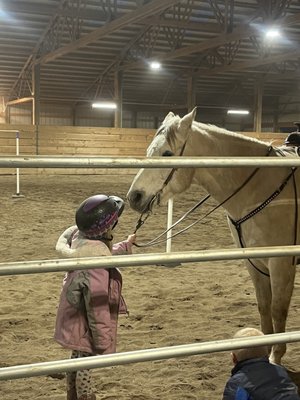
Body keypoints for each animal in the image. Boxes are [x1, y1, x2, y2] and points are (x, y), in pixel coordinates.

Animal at [126, 107, 300, 366]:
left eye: (167, 153)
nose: (134, 197)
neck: (261, 186)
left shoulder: (281, 264)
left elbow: (278, 310)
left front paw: (275, 356)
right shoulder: (254, 262)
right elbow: (263, 306)